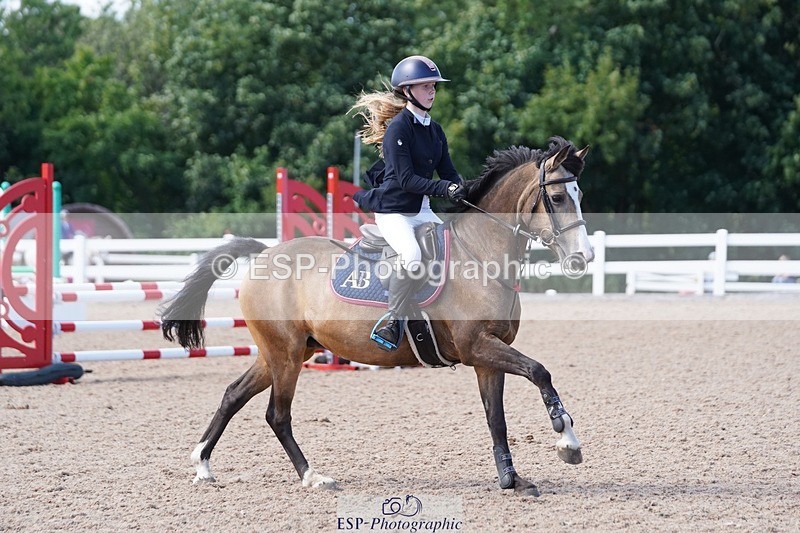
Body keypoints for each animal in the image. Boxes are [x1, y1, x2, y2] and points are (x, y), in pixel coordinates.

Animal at [160, 136, 594, 497]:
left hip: (286, 352)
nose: (583, 258)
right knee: (277, 415)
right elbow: (540, 372)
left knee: (234, 394)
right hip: (285, 355)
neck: (481, 257)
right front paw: (567, 441)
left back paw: (202, 464)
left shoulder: (488, 356)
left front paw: (512, 479)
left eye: (580, 193)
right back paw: (313, 476)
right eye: (557, 198)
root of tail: (267, 253)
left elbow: (497, 418)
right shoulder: (478, 347)